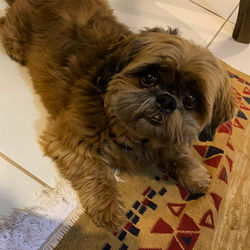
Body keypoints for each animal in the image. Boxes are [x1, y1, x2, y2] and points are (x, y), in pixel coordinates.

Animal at [0, 0, 235, 231]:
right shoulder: (70, 139)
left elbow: (175, 148)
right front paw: (108, 206)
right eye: (149, 77)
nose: (167, 100)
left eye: (191, 99)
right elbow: (98, 172)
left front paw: (193, 171)